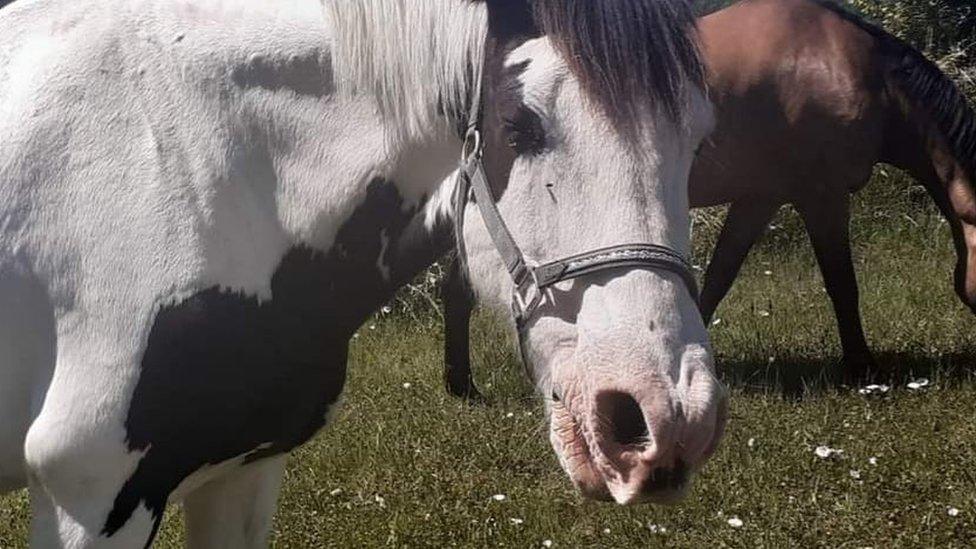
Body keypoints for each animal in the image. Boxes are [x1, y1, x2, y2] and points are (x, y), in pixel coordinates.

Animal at [0, 0, 724, 544]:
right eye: (521, 127)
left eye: (698, 139)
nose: (665, 419)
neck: (190, 168)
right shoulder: (91, 497)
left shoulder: (243, 472)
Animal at [442, 0, 976, 398]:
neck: (856, 70)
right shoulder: (821, 196)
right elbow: (843, 285)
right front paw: (863, 368)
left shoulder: (760, 199)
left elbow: (719, 276)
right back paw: (462, 385)